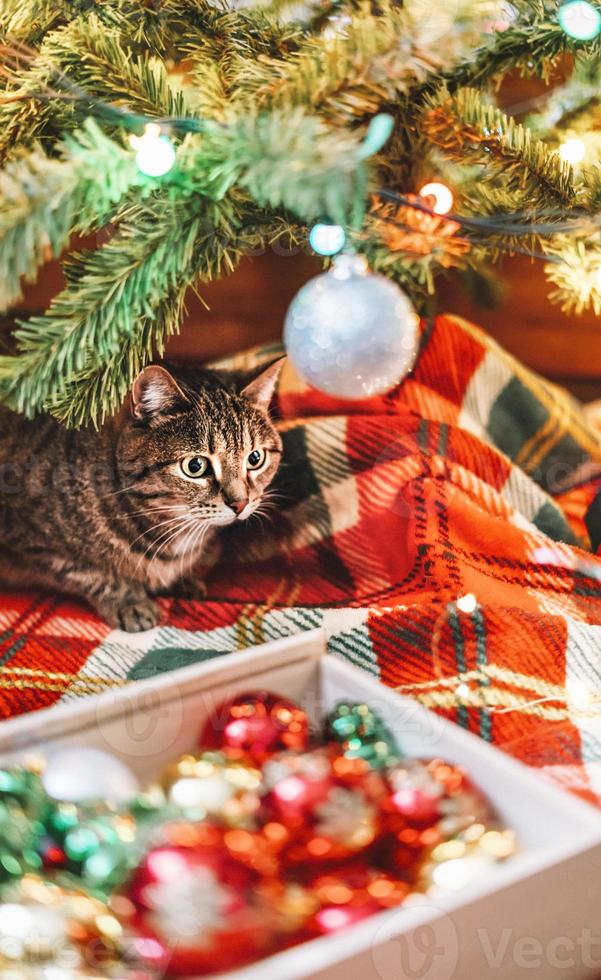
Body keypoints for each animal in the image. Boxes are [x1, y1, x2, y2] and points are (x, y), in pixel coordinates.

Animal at [0, 358, 284, 628]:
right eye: (195, 466)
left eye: (255, 458)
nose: (240, 503)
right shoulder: (30, 541)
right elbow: (90, 573)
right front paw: (131, 603)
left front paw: (183, 581)